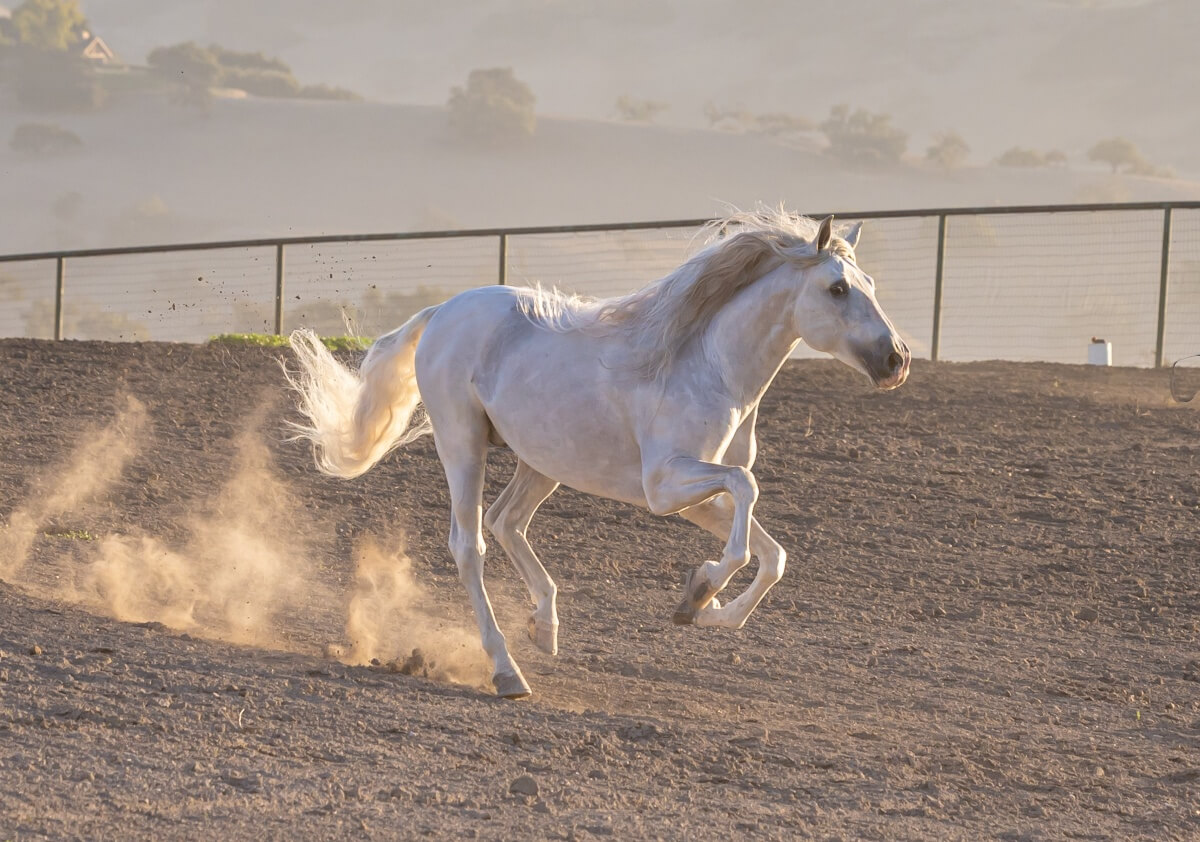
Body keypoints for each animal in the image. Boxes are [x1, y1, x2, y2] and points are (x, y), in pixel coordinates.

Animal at [285, 208, 910, 698]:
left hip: (542, 460)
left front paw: (705, 610)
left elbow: (773, 552)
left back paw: (545, 626)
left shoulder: (693, 496)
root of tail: (441, 313)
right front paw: (701, 590)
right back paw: (508, 672)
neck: (711, 368)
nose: (897, 359)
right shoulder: (665, 486)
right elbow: (746, 492)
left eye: (872, 283)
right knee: (470, 543)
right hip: (461, 443)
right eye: (837, 288)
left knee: (507, 521)